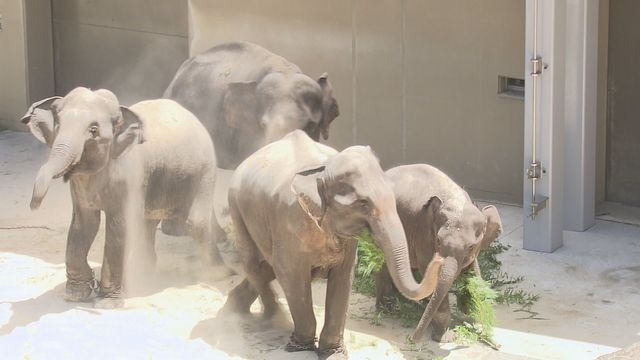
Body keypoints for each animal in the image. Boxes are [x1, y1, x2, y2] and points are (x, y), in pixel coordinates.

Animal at [21, 86, 235, 306]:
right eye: (57, 123)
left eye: (93, 130)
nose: (33, 206)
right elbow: (83, 224)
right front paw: (75, 295)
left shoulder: (130, 177)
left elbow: (119, 226)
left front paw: (108, 303)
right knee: (147, 223)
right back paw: (147, 275)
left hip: (204, 170)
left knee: (195, 222)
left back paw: (222, 274)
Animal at [222, 131, 442, 358]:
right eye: (363, 203)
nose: (438, 258)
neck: (323, 170)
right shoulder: (288, 220)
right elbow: (291, 275)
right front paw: (300, 347)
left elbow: (343, 277)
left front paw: (333, 353)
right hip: (236, 207)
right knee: (255, 264)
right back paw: (272, 316)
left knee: (265, 267)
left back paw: (234, 308)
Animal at [372, 165, 502, 342]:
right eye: (438, 241)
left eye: (470, 246)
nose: (412, 340)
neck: (455, 199)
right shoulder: (424, 234)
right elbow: (429, 271)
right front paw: (445, 337)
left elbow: (472, 271)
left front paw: (471, 313)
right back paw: (388, 309)